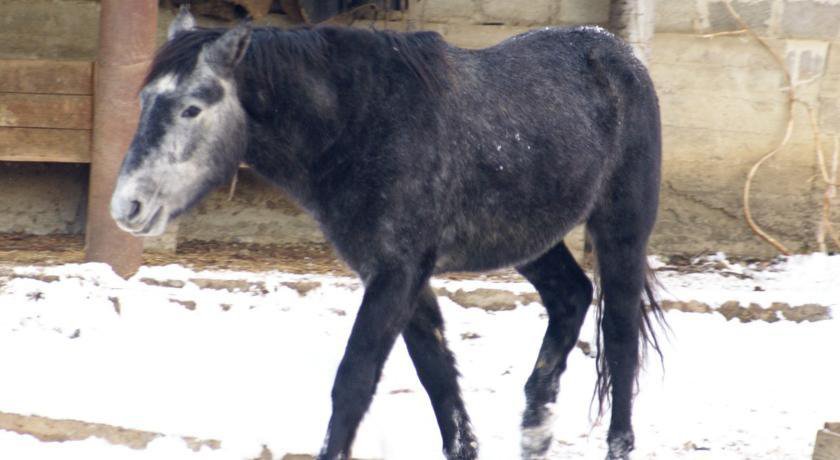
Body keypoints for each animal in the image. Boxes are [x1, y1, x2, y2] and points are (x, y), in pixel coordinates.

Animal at [110, 8, 664, 460]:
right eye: (144, 100)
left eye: (192, 108)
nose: (127, 205)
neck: (362, 124)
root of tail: (619, 54)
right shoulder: (399, 274)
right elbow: (438, 378)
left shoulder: (398, 271)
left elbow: (353, 382)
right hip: (529, 240)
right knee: (571, 296)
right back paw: (534, 433)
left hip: (621, 231)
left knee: (620, 339)